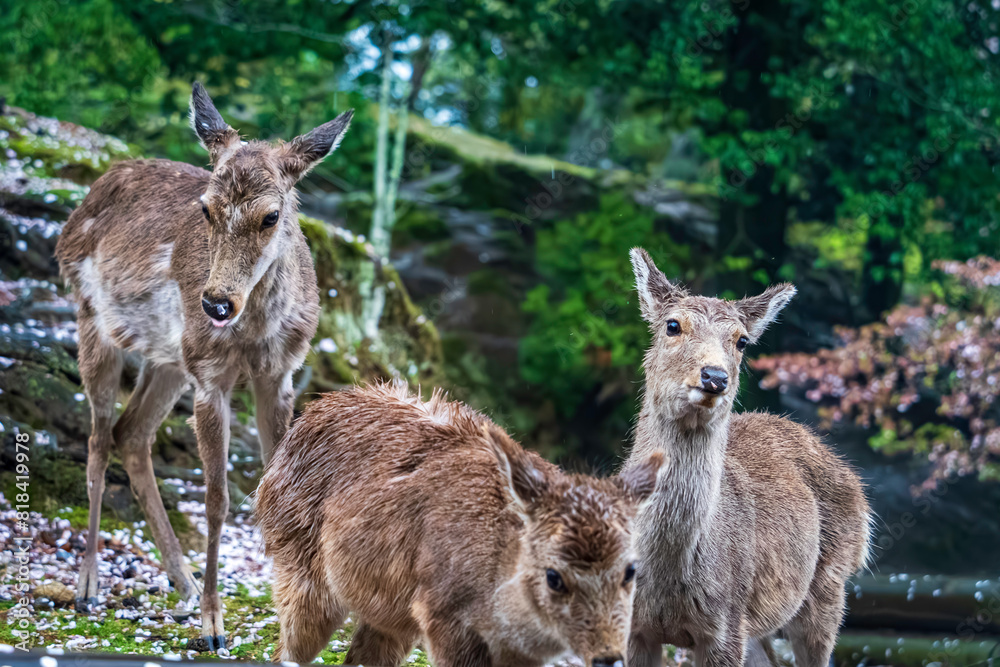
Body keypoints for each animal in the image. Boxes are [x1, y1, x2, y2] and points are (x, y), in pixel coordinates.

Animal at [55, 81, 352, 648]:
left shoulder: (280, 373)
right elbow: (216, 497)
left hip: (171, 358)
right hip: (93, 319)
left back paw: (184, 581)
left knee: (131, 433)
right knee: (98, 438)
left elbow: (280, 487)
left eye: (271, 216)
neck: (254, 334)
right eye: (207, 209)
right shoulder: (211, 377)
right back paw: (88, 585)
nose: (215, 303)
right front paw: (214, 625)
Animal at [254, 380, 668, 667]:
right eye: (553, 575)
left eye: (631, 570)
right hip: (301, 571)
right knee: (287, 649)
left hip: (393, 616)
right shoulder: (443, 616)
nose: (608, 656)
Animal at [620, 249, 872, 667]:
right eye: (673, 325)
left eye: (741, 341)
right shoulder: (630, 624)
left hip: (831, 581)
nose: (714, 376)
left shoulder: (726, 626)